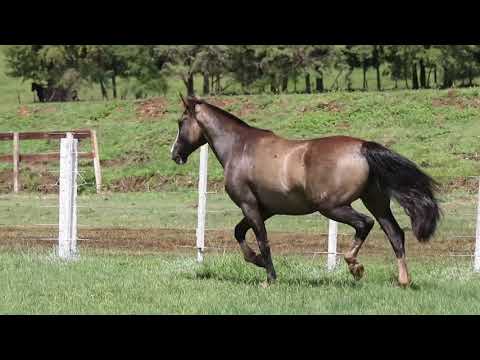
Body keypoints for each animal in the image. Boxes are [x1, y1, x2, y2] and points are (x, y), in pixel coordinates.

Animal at [171, 95, 440, 286]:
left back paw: (355, 267)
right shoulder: (265, 209)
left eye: (181, 122)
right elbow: (239, 232)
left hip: (332, 207)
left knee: (365, 224)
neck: (240, 147)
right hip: (375, 202)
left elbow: (262, 240)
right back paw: (403, 281)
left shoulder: (250, 206)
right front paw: (257, 262)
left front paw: (269, 278)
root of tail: (363, 147)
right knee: (395, 234)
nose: (175, 154)